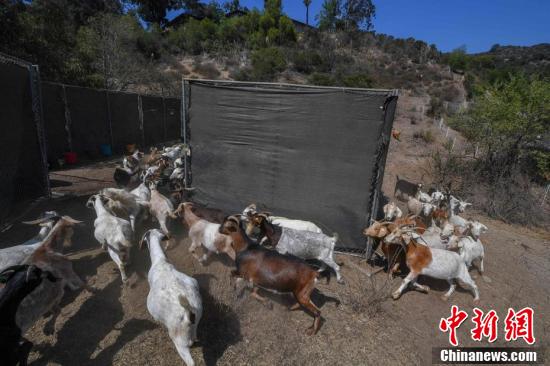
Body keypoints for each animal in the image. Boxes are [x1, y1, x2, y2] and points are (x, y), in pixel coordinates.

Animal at [142, 229, 203, 366]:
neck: (160, 261)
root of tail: (188, 311)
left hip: (179, 340)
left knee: (190, 361)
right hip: (196, 320)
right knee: (195, 334)